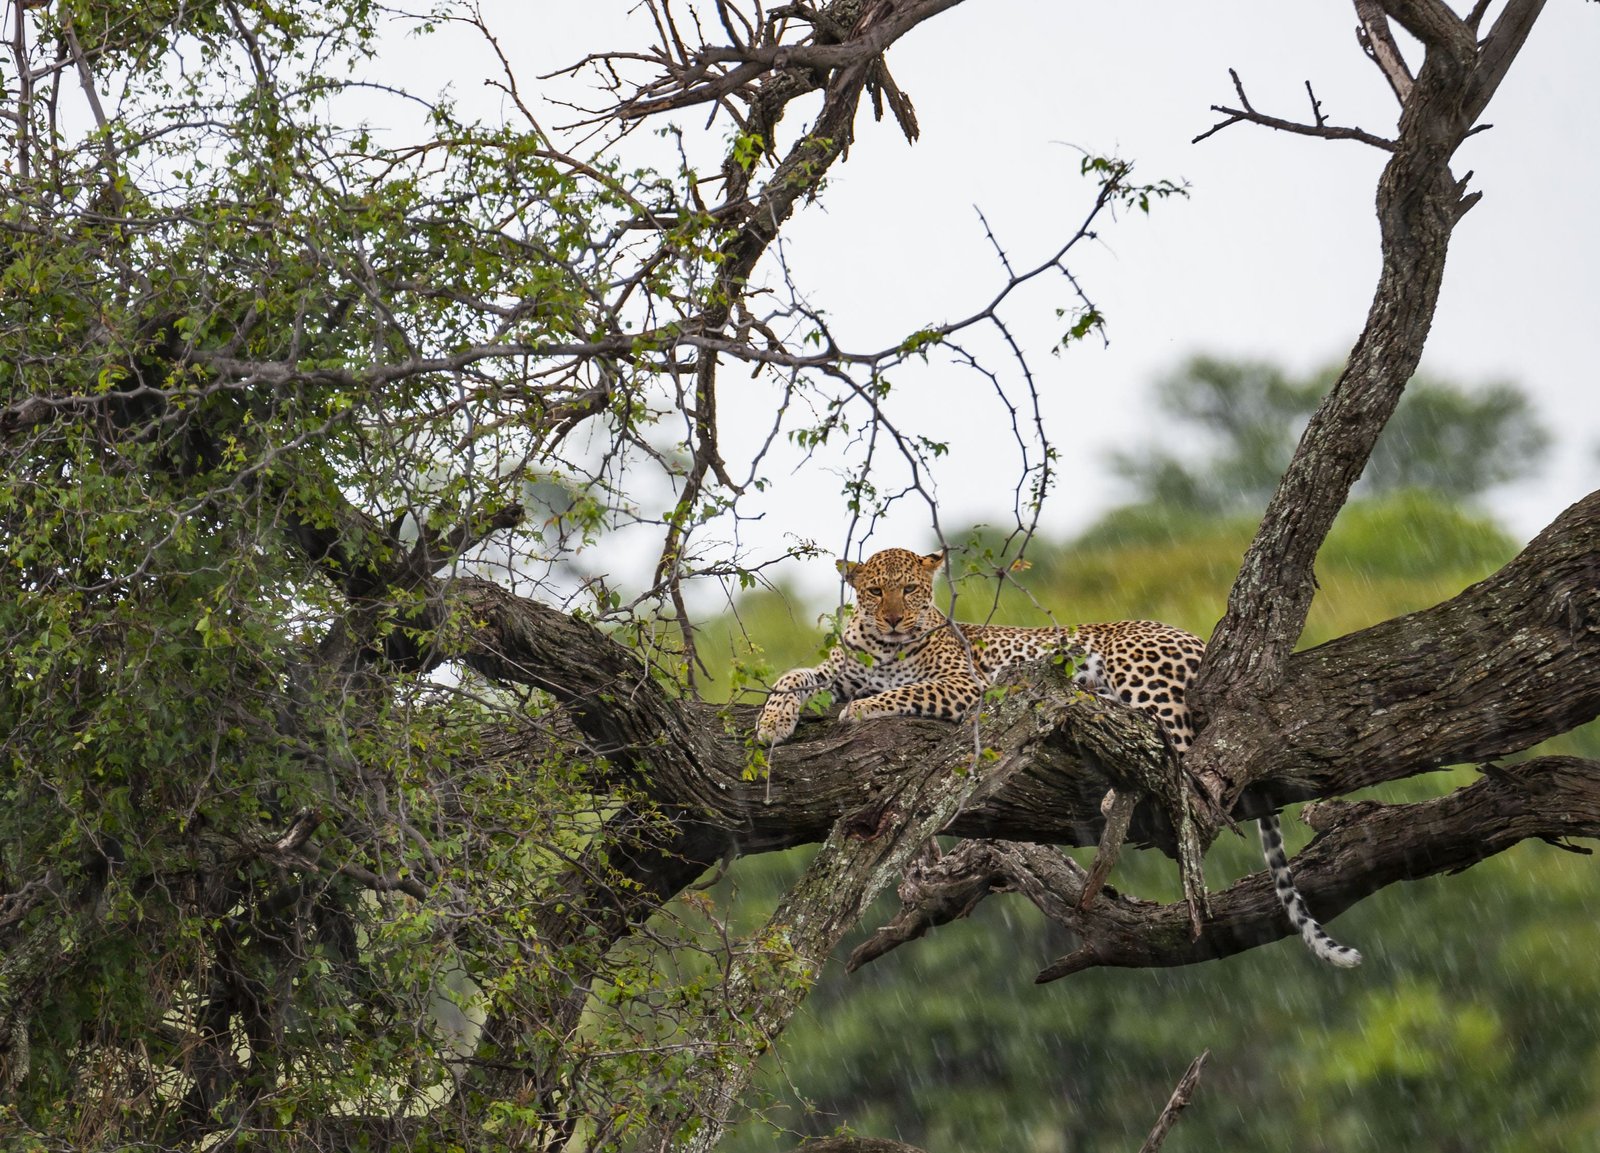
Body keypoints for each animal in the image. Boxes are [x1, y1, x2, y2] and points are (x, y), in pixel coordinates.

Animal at [755, 543, 1356, 965]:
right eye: (877, 592)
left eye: (910, 589)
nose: (896, 618)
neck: (882, 647)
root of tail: (1192, 636)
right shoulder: (838, 671)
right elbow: (794, 675)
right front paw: (771, 722)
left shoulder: (965, 686)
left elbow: (900, 693)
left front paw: (859, 711)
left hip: (1139, 675)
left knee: (1187, 758)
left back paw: (1123, 795)